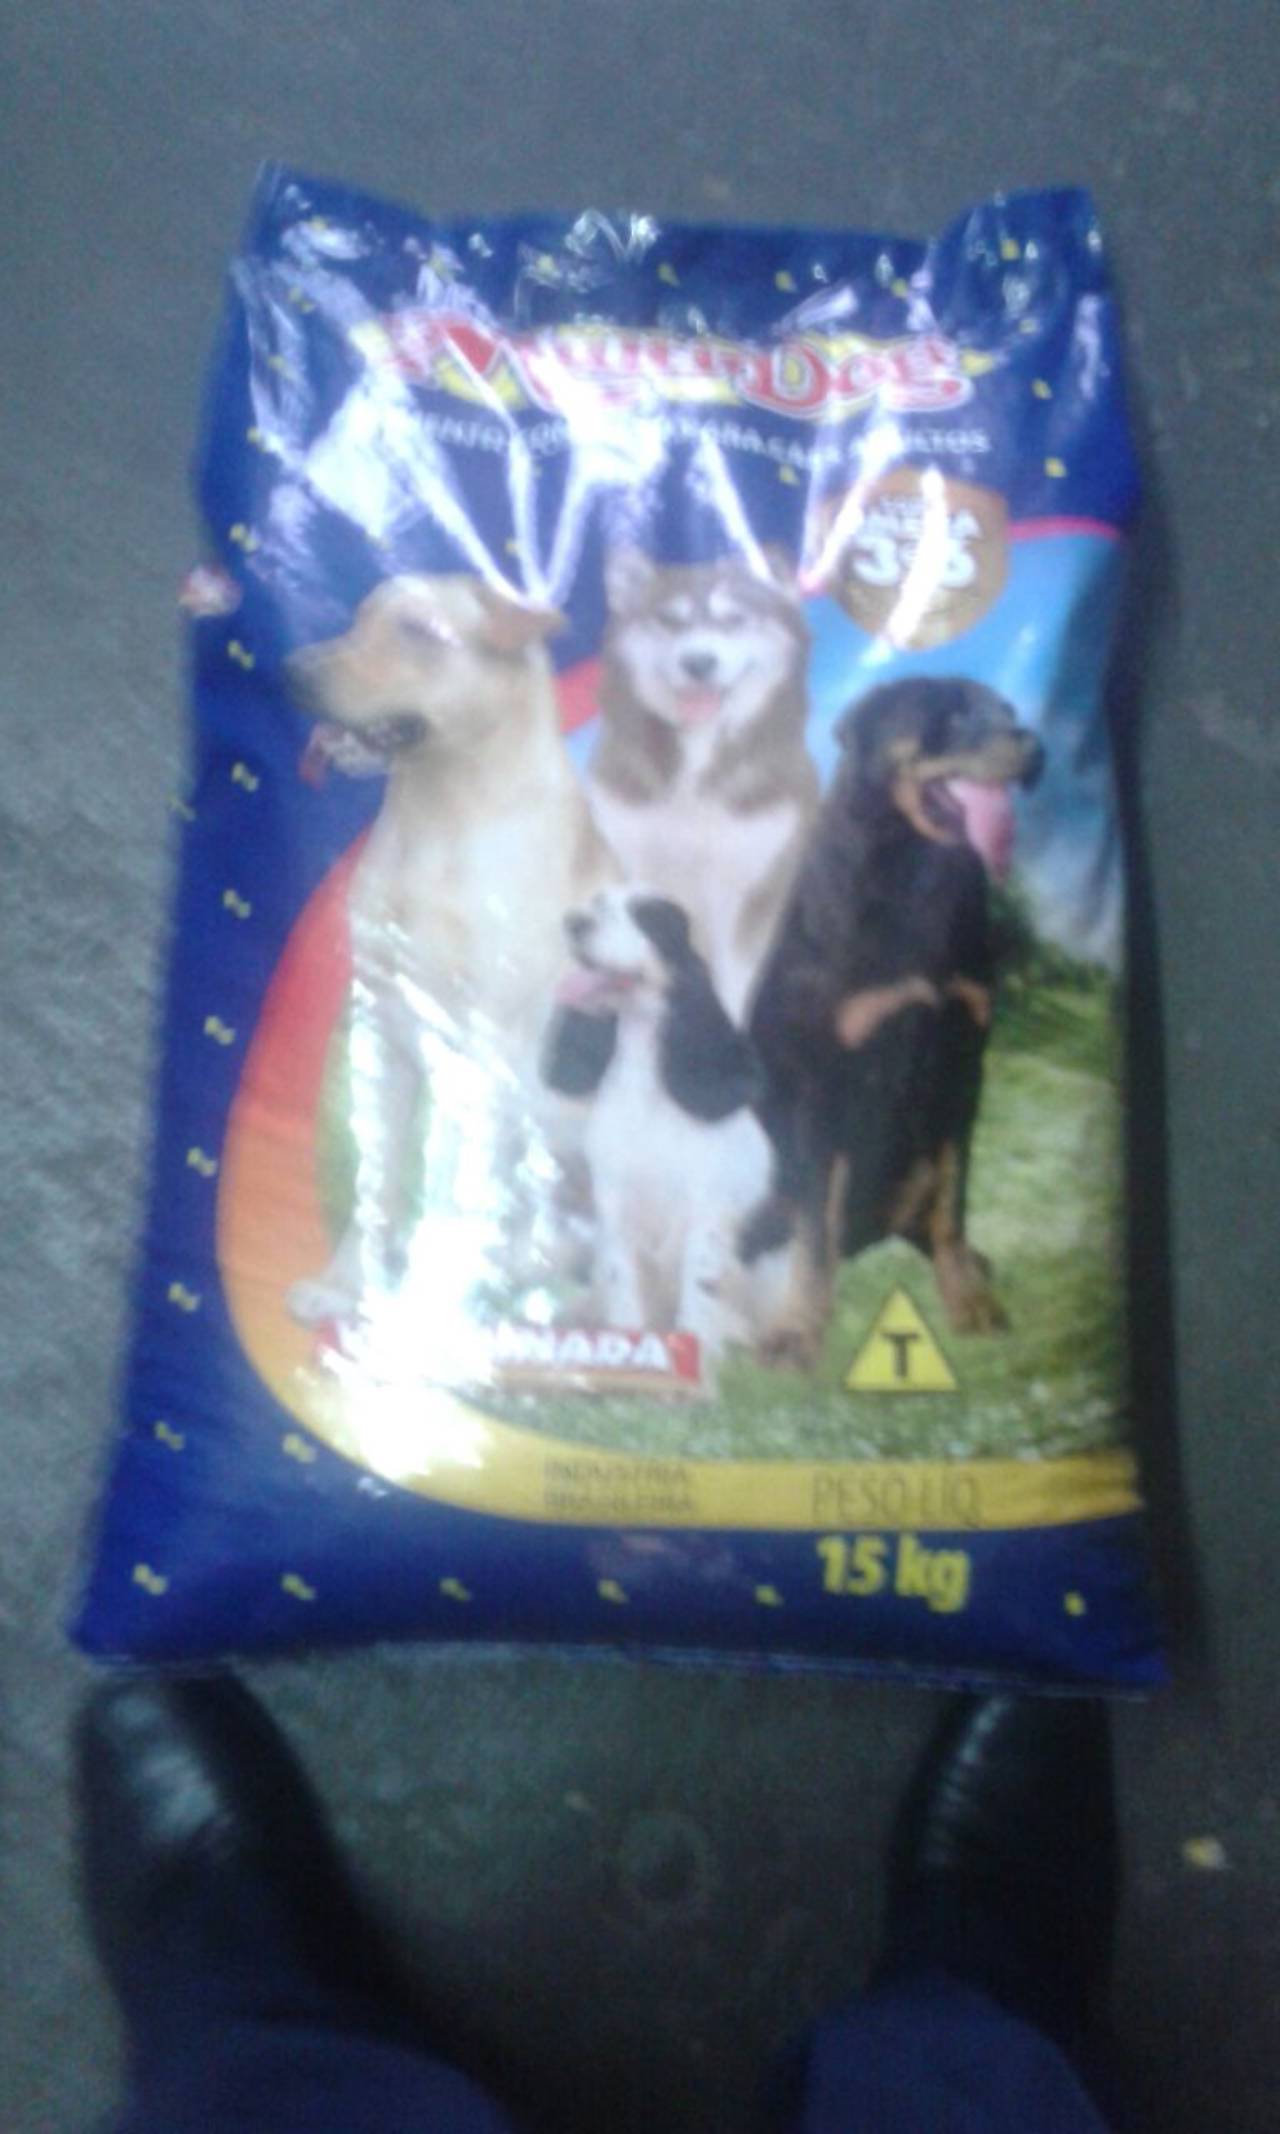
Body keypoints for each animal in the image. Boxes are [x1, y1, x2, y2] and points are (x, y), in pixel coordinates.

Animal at [286, 572, 618, 1326]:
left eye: (418, 631)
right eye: (359, 619)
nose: (291, 672)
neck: (437, 827)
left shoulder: (484, 1056)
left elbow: (457, 1196)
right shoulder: (384, 1032)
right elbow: (377, 1184)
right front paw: (346, 1285)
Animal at [543, 889, 790, 1365]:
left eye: (647, 918)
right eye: (597, 901)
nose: (574, 923)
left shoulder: (705, 1220)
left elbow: (697, 1306)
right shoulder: (616, 1209)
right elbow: (624, 1296)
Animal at [585, 549, 819, 1020]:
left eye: (734, 619)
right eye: (668, 620)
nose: (698, 662)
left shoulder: (750, 889)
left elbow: (732, 985)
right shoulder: (630, 860)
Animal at [749, 676, 1045, 1363]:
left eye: (1008, 711)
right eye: (955, 714)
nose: (1035, 747)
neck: (914, 870)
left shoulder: (963, 1063)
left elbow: (953, 1203)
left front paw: (969, 1301)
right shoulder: (823, 1077)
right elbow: (814, 1226)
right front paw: (798, 1331)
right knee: (797, 1220)